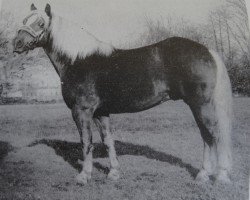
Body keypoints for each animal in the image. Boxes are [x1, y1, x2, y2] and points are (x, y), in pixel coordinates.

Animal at [13, 3, 232, 184]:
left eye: (40, 23)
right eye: (24, 20)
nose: (17, 43)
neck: (77, 60)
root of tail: (208, 51)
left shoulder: (81, 111)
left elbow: (86, 142)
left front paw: (84, 176)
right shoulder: (100, 112)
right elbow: (108, 141)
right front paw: (114, 173)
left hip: (200, 104)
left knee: (213, 135)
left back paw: (216, 176)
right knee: (208, 136)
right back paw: (207, 175)